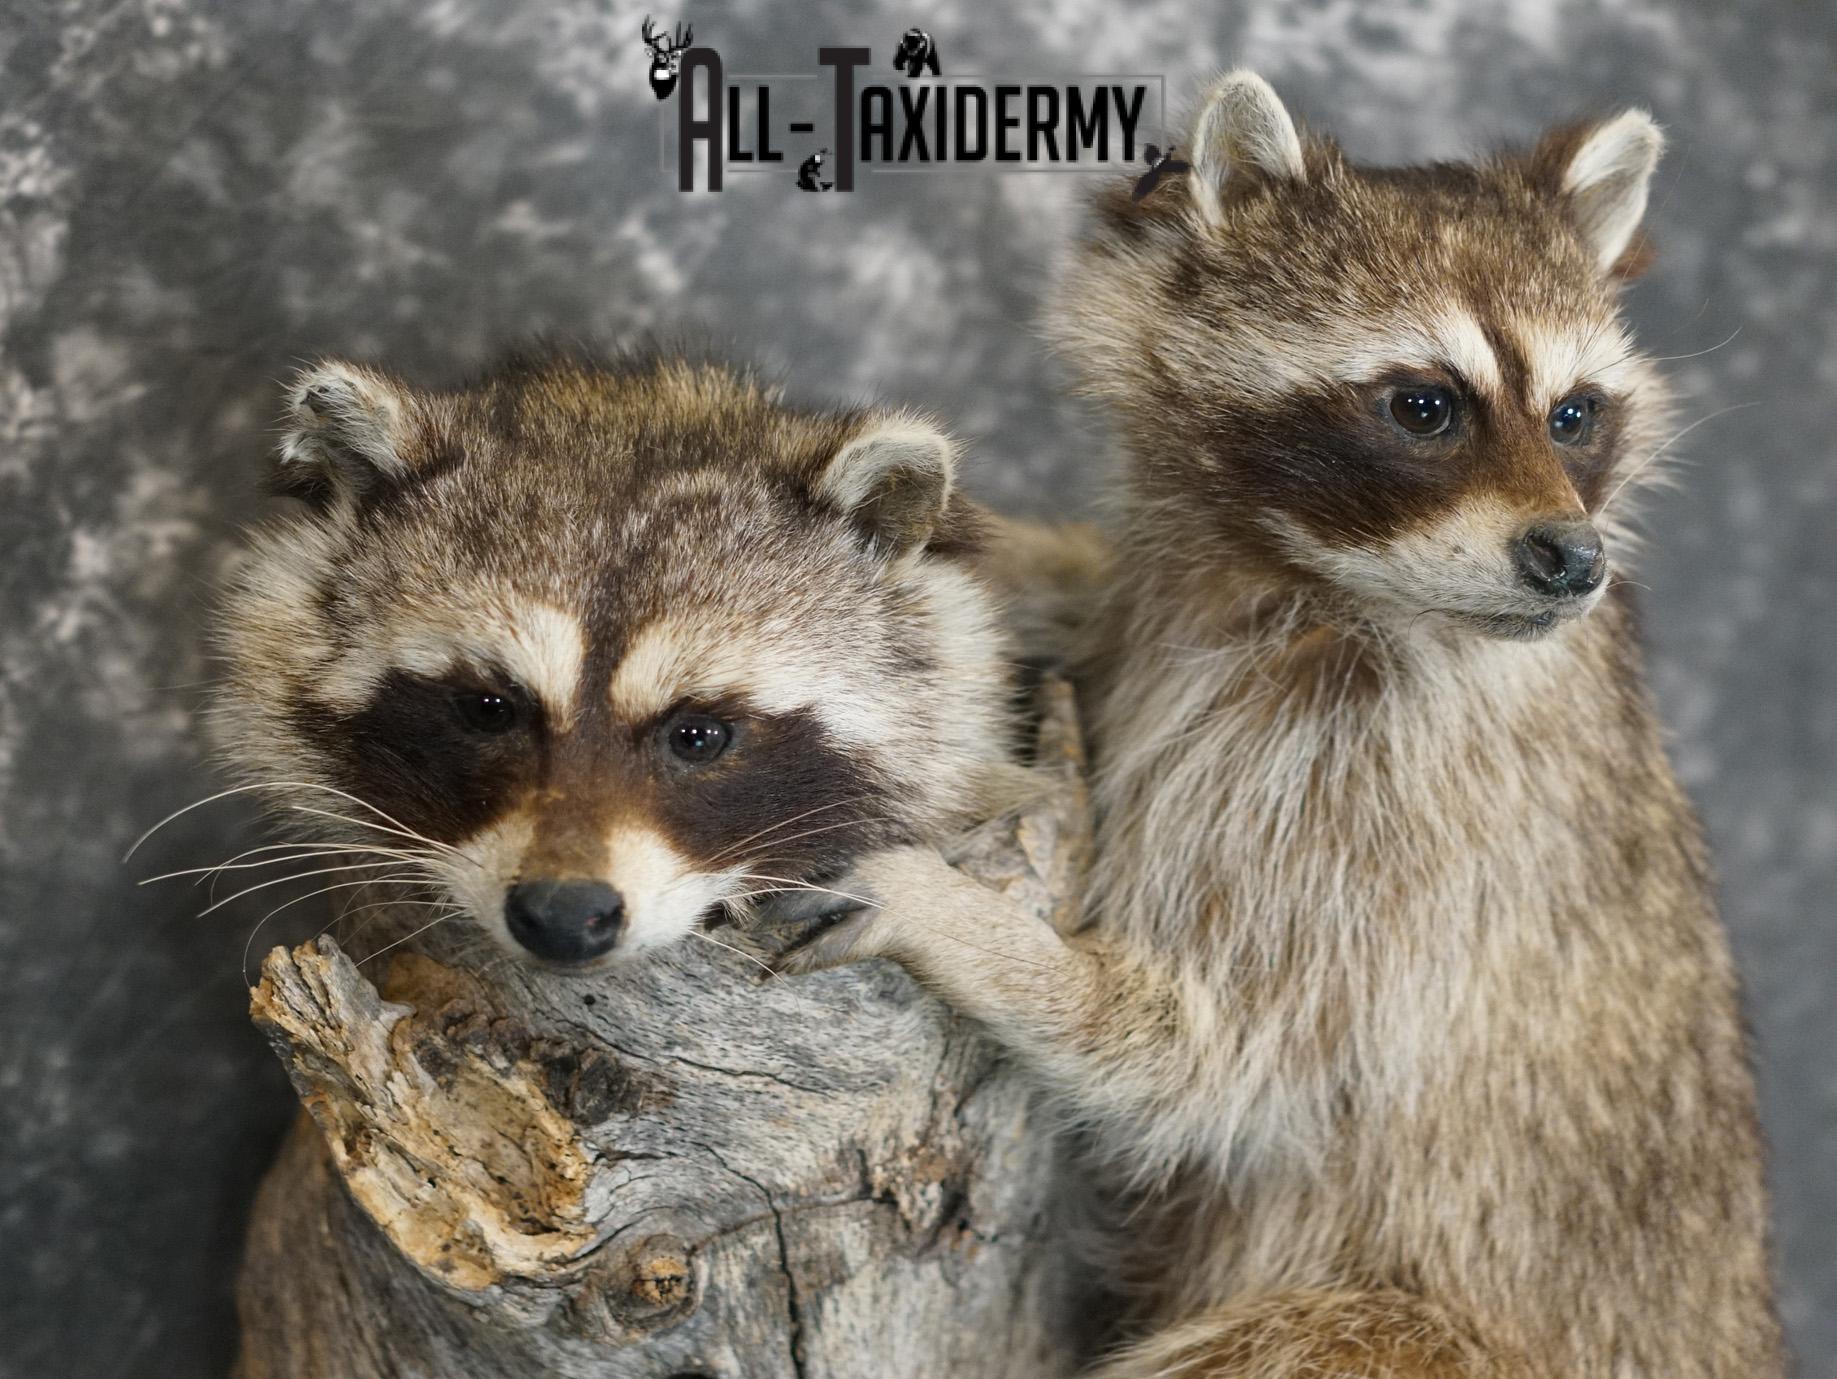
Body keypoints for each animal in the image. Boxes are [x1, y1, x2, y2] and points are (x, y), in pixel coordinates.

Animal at [797, 75, 1783, 1375]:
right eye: (1423, 406)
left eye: (1574, 414)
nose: (1573, 559)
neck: (1304, 578)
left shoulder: (1415, 807)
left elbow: (1230, 1057)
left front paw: (985, 938)